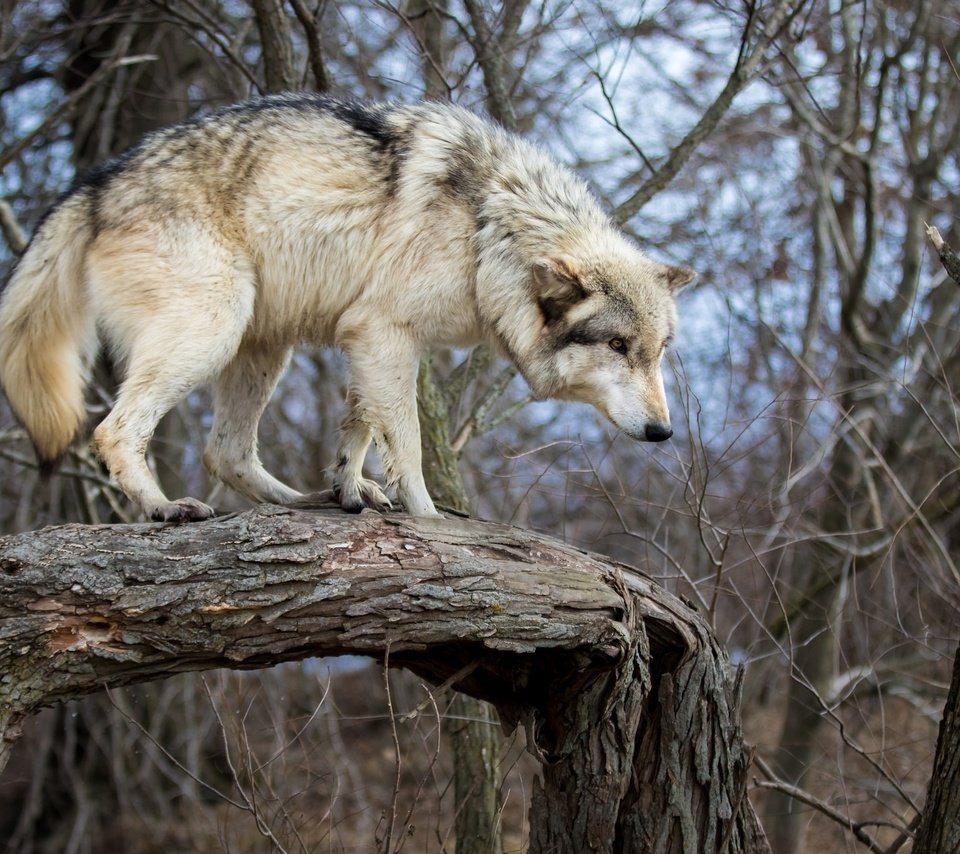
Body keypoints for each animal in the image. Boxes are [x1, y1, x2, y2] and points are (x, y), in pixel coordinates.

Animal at [0, 93, 688, 520]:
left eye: (657, 353)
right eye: (618, 347)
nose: (663, 433)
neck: (491, 226)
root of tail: (96, 183)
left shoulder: (366, 339)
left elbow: (358, 427)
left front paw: (350, 488)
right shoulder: (386, 334)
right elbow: (405, 444)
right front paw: (430, 518)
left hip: (260, 347)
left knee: (225, 452)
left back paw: (302, 501)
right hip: (212, 330)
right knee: (114, 431)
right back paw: (163, 508)